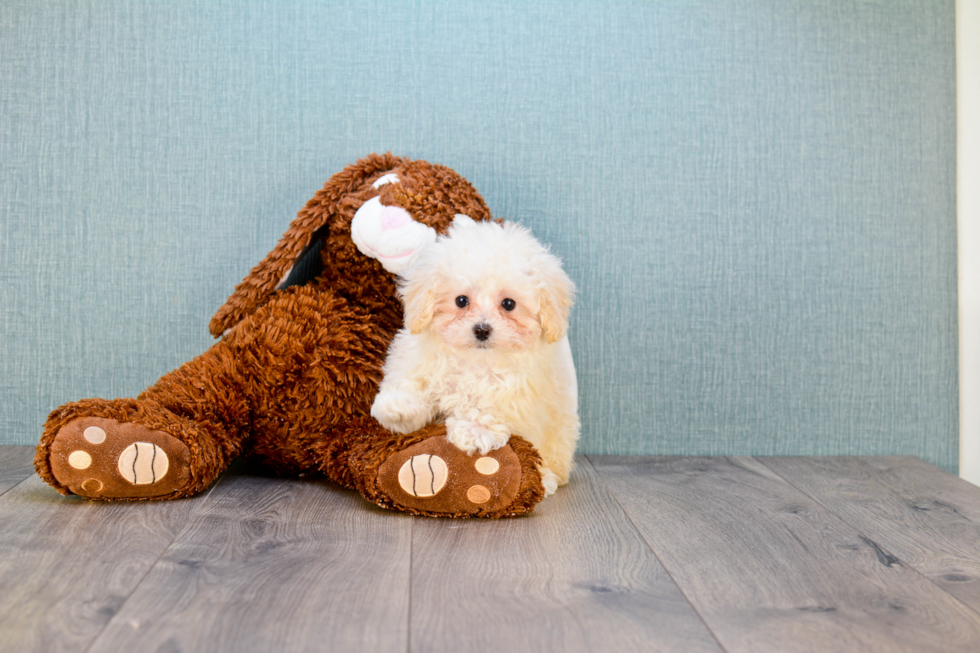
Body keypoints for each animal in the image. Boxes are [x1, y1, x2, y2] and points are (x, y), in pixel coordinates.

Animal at [372, 215, 580, 494]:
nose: (482, 329)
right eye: (461, 300)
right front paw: (399, 408)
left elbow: (493, 403)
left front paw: (473, 430)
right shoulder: (418, 359)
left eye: (508, 304)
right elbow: (411, 382)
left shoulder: (521, 389)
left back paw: (545, 480)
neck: (475, 360)